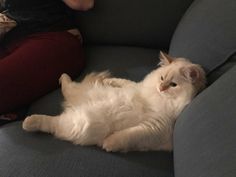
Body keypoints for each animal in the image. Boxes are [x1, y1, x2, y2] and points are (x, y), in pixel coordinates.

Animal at [23, 52, 206, 152]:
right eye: (162, 78)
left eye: (173, 85)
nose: (161, 88)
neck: (156, 97)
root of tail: (74, 104)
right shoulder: (138, 87)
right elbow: (124, 81)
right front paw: (110, 81)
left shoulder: (154, 126)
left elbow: (127, 135)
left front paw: (108, 144)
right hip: (78, 103)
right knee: (67, 87)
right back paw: (63, 77)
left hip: (78, 124)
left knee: (52, 122)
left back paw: (28, 122)